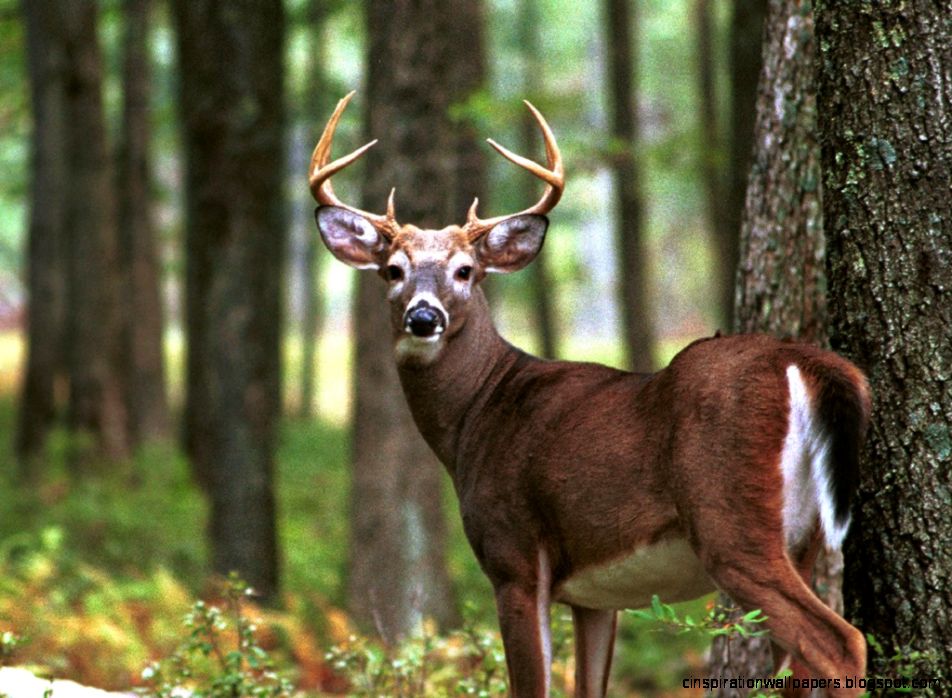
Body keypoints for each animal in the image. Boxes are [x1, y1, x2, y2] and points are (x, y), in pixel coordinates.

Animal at [309, 92, 870, 698]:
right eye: (393, 270)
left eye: (465, 271)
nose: (423, 317)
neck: (477, 415)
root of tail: (804, 361)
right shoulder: (595, 597)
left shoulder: (513, 555)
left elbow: (530, 686)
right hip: (803, 537)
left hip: (732, 519)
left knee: (839, 640)